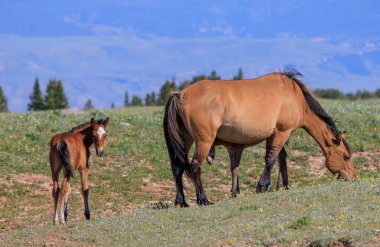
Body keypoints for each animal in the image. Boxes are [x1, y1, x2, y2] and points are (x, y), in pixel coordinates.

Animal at [165, 68, 358, 206]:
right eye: (346, 156)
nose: (354, 178)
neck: (295, 96)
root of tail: (181, 94)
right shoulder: (282, 132)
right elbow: (271, 159)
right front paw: (263, 185)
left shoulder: (275, 135)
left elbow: (281, 157)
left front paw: (281, 185)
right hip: (204, 141)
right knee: (196, 166)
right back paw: (203, 199)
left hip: (186, 139)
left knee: (177, 167)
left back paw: (181, 201)